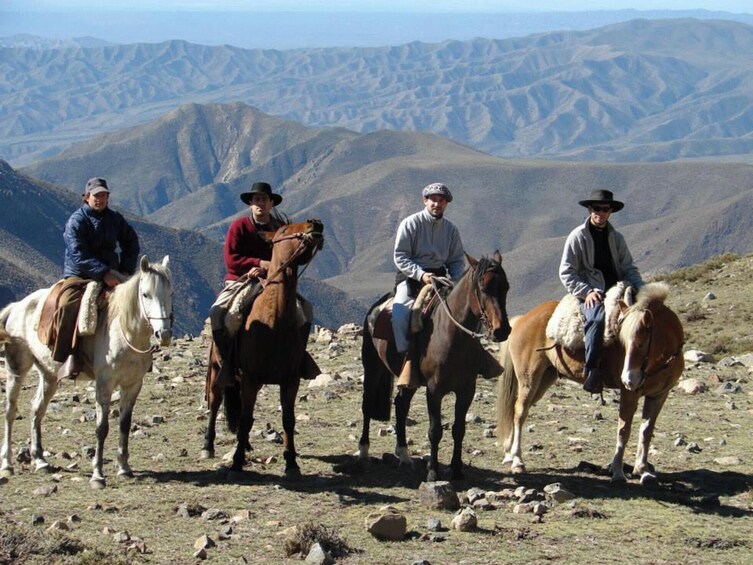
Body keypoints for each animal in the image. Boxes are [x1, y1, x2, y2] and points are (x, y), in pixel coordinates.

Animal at [0, 253, 172, 486]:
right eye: (145, 294)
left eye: (170, 293)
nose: (163, 334)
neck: (125, 332)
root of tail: (17, 306)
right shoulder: (104, 384)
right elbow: (102, 428)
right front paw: (98, 475)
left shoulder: (133, 384)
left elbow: (124, 425)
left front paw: (124, 468)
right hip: (17, 367)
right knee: (10, 410)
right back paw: (7, 465)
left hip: (49, 375)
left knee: (37, 408)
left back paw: (40, 460)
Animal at [203, 219, 324, 476]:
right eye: (285, 230)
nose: (316, 223)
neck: (274, 323)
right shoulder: (251, 378)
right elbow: (245, 418)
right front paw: (237, 463)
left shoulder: (290, 381)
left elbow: (288, 419)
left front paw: (291, 463)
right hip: (219, 370)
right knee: (216, 402)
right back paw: (208, 446)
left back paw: (246, 444)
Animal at [358, 251, 512, 480]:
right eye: (483, 288)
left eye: (506, 287)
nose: (502, 330)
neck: (452, 336)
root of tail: (376, 307)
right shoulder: (434, 390)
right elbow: (435, 430)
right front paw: (433, 472)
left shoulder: (466, 390)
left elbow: (459, 429)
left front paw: (456, 470)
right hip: (373, 368)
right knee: (368, 405)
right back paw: (363, 451)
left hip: (409, 380)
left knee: (401, 405)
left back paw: (404, 455)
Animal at [496, 280, 684, 482]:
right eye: (623, 342)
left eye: (642, 343)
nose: (628, 379)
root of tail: (522, 319)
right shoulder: (630, 395)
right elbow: (624, 431)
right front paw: (618, 471)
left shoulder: (659, 396)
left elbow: (646, 431)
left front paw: (642, 469)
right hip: (529, 379)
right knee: (520, 412)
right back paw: (517, 461)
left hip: (544, 379)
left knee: (517, 409)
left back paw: (509, 455)